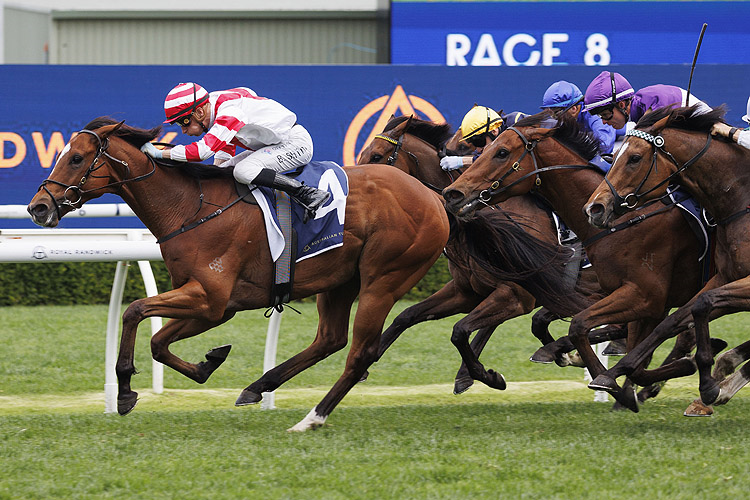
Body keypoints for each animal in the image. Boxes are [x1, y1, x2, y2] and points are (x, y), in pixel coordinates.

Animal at [27, 116, 452, 430]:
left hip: (384, 279)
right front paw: (208, 362)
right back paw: (259, 385)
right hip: (340, 280)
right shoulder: (215, 306)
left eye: (77, 159)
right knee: (330, 339)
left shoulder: (209, 298)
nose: (38, 207)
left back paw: (311, 418)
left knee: (360, 352)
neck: (189, 207)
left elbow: (134, 310)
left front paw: (125, 391)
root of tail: (433, 196)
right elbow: (159, 342)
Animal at [358, 115, 628, 392]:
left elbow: (461, 330)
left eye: (377, 155)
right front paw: (363, 365)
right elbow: (406, 316)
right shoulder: (466, 291)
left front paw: (483, 376)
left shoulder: (516, 294)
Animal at [446, 110, 712, 410]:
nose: (453, 194)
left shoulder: (643, 296)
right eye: (483, 150)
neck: (624, 222)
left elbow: (582, 328)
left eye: (501, 152)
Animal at [584, 106, 750, 410]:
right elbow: (676, 319)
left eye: (635, 158)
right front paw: (614, 374)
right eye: (615, 155)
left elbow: (700, 307)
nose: (594, 208)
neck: (741, 201)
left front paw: (708, 383)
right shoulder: (724, 277)